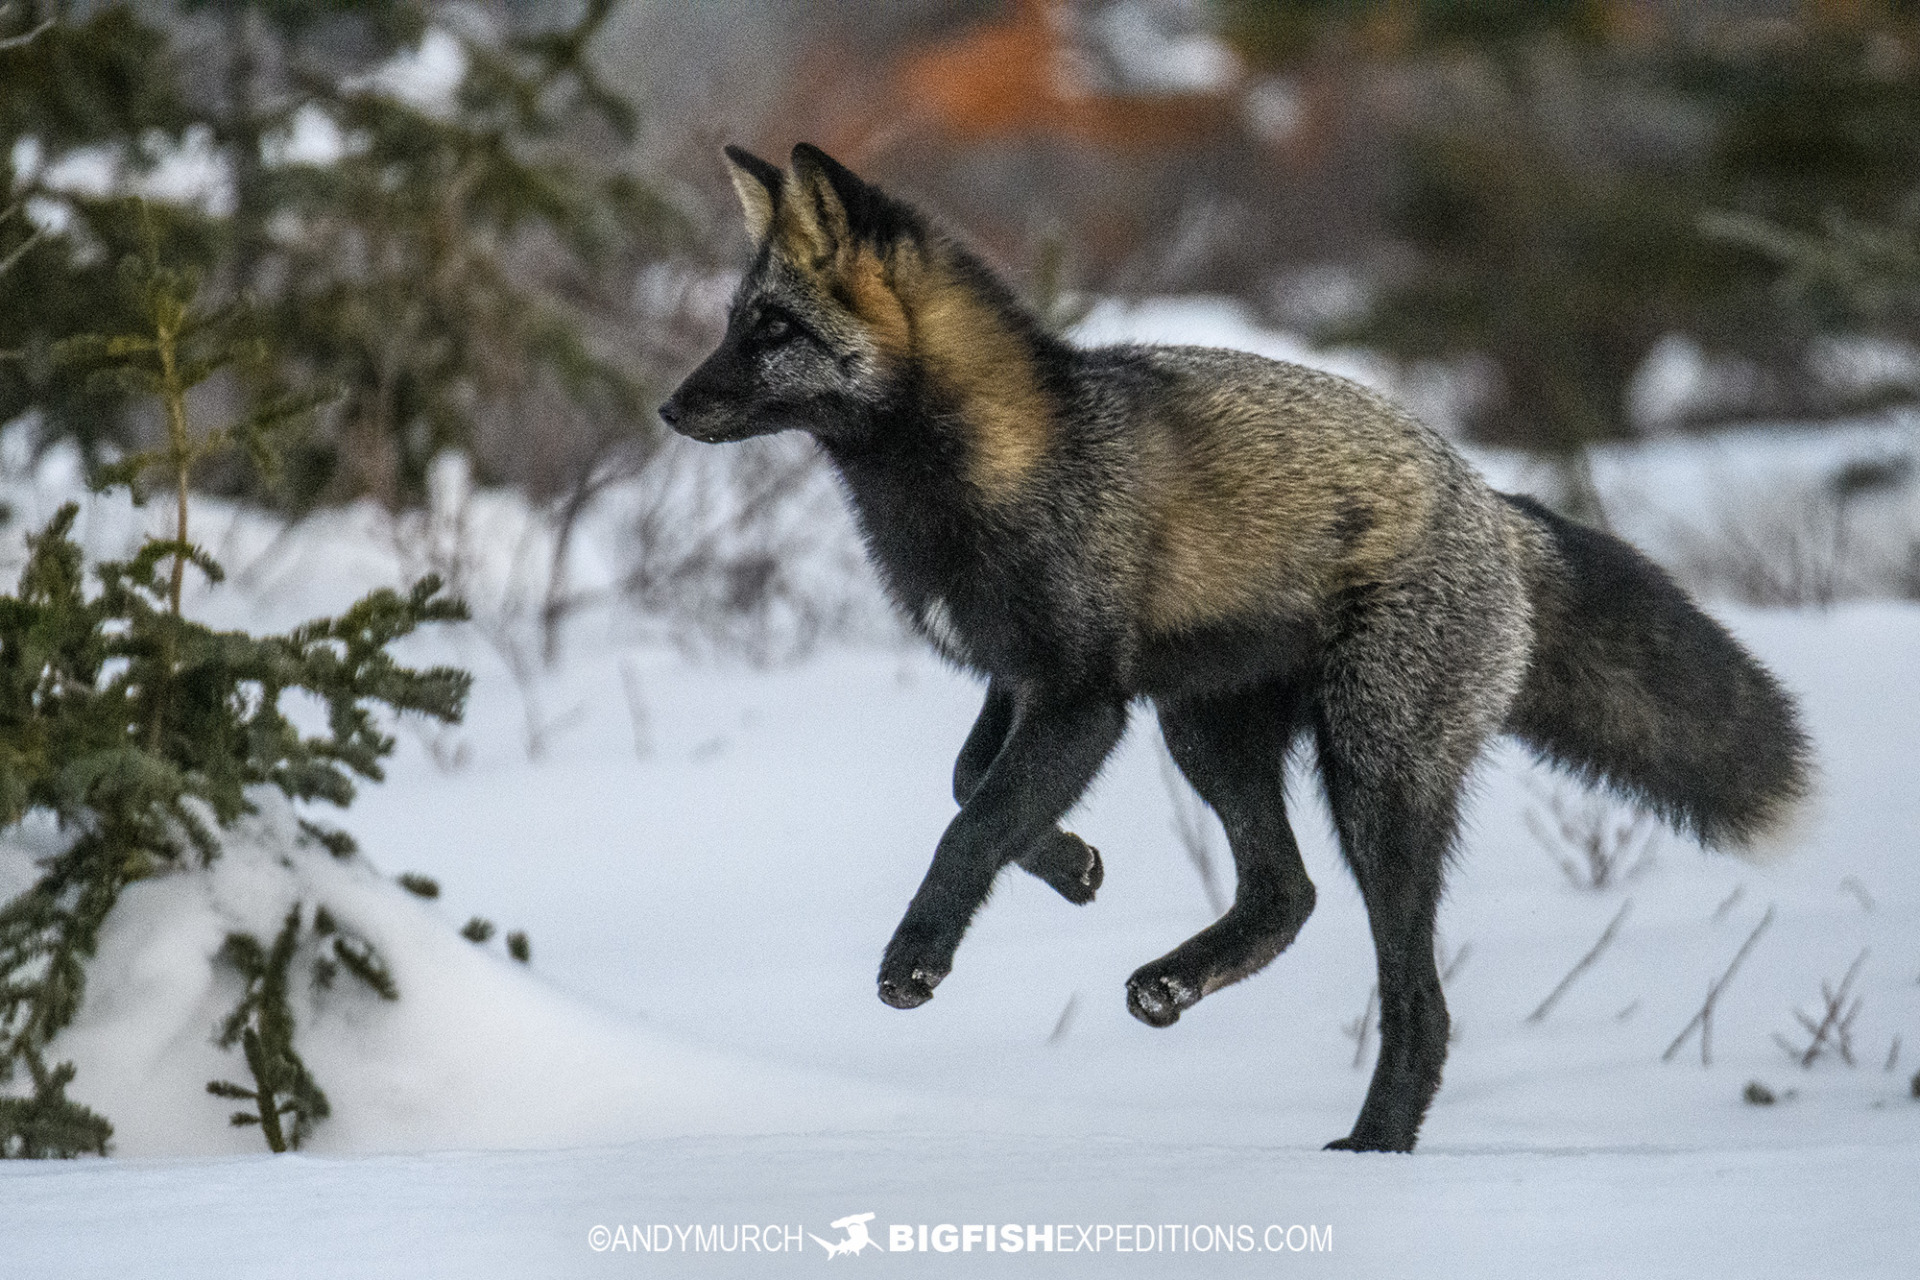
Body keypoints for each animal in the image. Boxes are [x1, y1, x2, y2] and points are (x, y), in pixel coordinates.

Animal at [664, 144, 1812, 1159]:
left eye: (774, 328)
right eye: (733, 323)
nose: (672, 407)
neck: (989, 466)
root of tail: (1493, 502)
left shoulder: (1082, 693)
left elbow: (970, 822)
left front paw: (917, 958)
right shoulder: (1021, 674)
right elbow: (968, 785)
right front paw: (1072, 865)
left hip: (1371, 780)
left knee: (1418, 1001)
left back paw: (1376, 1148)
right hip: (1207, 733)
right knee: (1285, 894)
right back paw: (1178, 983)